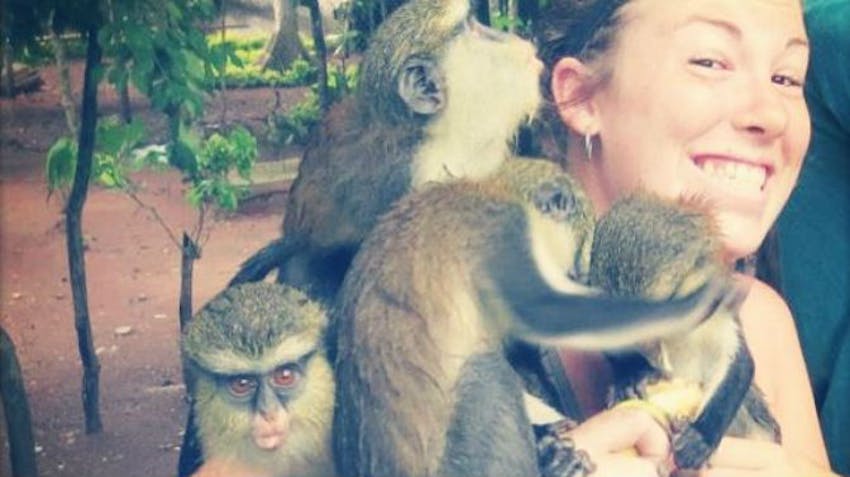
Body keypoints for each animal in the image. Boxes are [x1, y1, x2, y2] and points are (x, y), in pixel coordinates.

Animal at [331, 158, 737, 477]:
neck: (495, 188)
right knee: (487, 374)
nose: (574, 276)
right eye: (574, 271)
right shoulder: (505, 233)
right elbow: (547, 312)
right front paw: (694, 304)